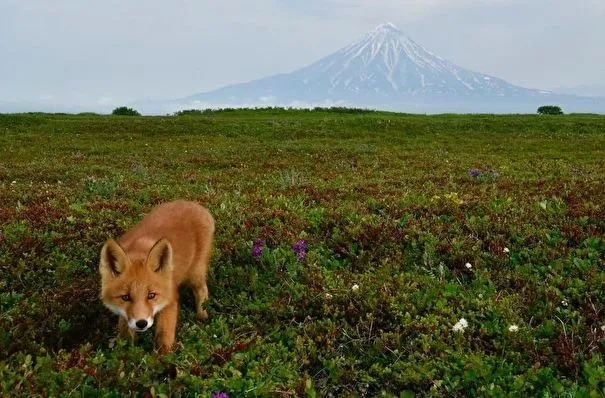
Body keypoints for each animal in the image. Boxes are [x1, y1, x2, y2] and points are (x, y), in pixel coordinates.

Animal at [98, 201, 214, 352]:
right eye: (125, 297)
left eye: (151, 295)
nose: (141, 323)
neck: (138, 252)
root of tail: (195, 204)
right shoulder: (124, 314)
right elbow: (125, 333)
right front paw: (124, 352)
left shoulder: (170, 300)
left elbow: (164, 337)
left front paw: (164, 357)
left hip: (195, 272)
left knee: (202, 290)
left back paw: (202, 316)